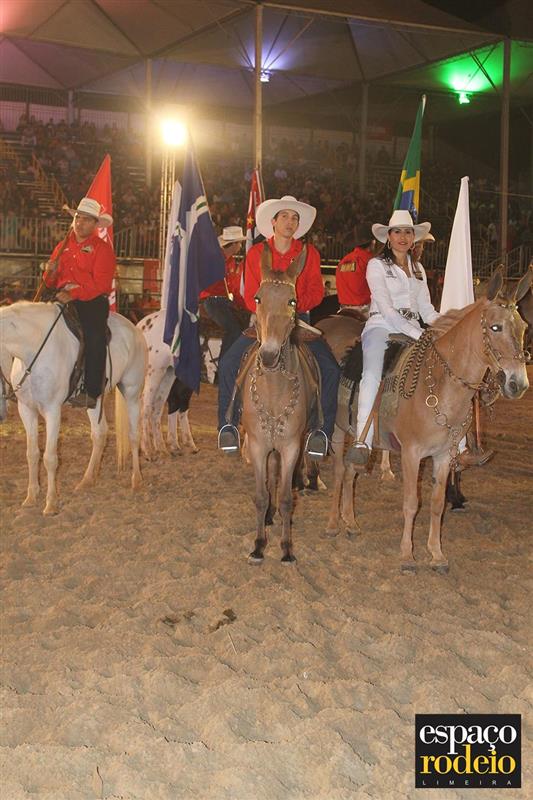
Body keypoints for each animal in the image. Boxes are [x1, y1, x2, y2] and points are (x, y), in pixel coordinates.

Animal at [0, 301, 147, 514]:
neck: (33, 349)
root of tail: (135, 329)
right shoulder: (26, 410)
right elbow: (32, 454)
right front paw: (31, 497)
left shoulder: (52, 411)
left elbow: (50, 457)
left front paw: (51, 504)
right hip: (95, 400)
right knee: (99, 433)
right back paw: (87, 480)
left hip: (132, 392)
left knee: (134, 436)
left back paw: (136, 481)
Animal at [324, 267, 531, 572]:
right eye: (496, 327)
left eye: (523, 327)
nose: (518, 383)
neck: (439, 385)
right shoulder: (412, 454)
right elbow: (412, 503)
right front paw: (407, 556)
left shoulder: (443, 456)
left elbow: (436, 503)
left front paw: (436, 554)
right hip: (338, 430)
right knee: (339, 472)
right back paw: (332, 524)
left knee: (352, 471)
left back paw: (350, 523)